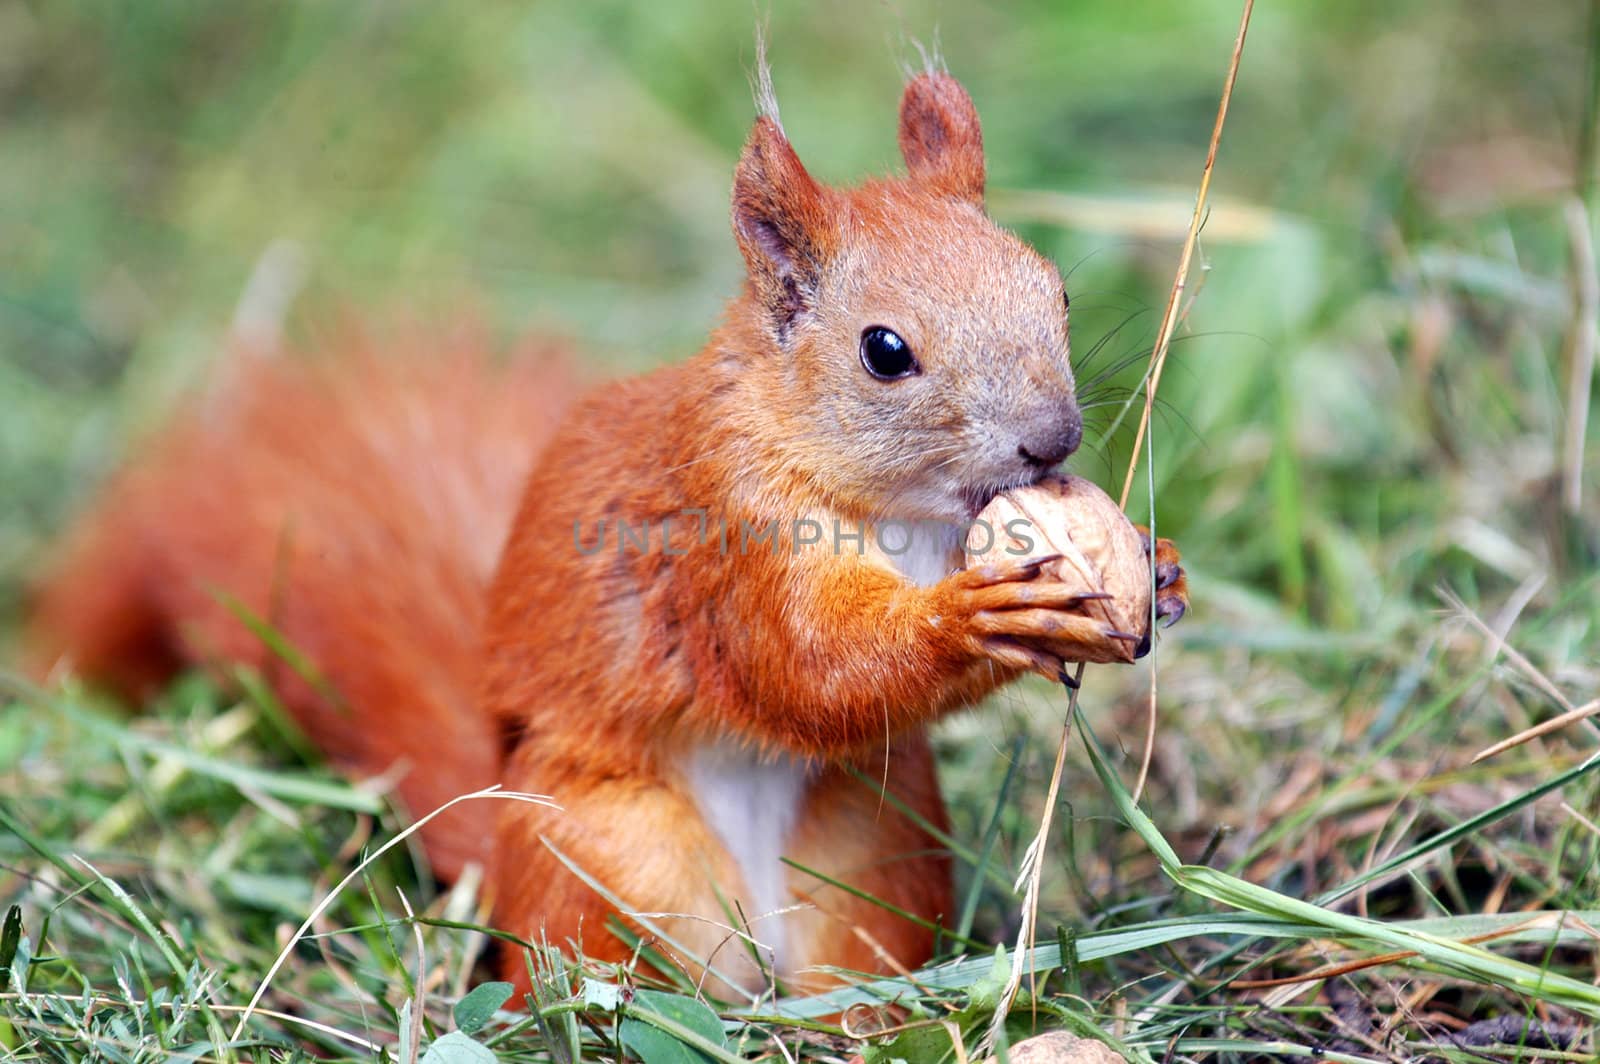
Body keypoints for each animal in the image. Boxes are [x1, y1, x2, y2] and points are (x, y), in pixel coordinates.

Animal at [28, 66, 1190, 998]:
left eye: (1056, 290)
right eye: (885, 350)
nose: (1052, 439)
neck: (904, 517)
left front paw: (1159, 569)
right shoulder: (721, 542)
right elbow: (808, 667)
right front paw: (979, 615)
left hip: (876, 840)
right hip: (608, 860)